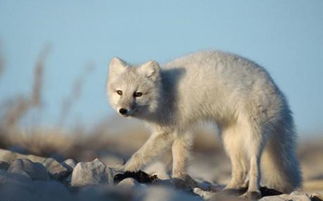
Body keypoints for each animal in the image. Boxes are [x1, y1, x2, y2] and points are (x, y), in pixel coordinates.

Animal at [107, 50, 304, 196]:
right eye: (119, 92)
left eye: (137, 94)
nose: (123, 110)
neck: (164, 91)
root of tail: (277, 90)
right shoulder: (181, 130)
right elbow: (179, 162)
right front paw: (180, 181)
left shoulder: (168, 131)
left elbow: (139, 154)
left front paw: (124, 170)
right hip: (229, 139)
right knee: (240, 170)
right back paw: (228, 190)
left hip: (253, 136)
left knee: (254, 167)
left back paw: (252, 192)